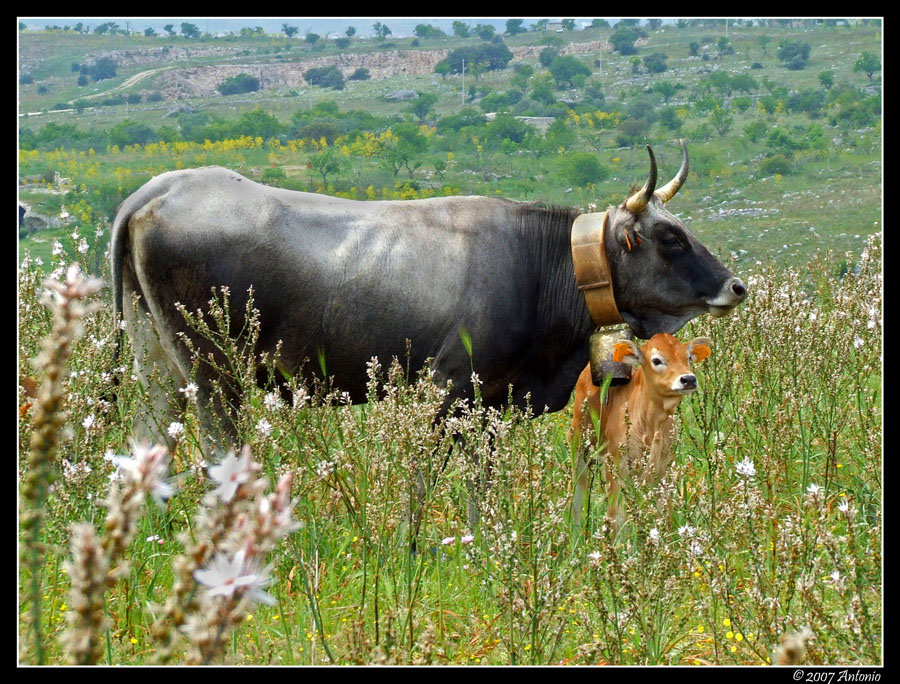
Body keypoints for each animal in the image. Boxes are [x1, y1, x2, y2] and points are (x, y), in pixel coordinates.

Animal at [109, 141, 746, 452]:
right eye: (669, 238)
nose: (735, 286)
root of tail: (158, 188)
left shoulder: (493, 402)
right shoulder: (448, 387)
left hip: (157, 366)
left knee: (146, 445)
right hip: (213, 374)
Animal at [568, 333, 713, 530]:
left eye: (688, 358)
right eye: (657, 360)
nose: (688, 379)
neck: (652, 426)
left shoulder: (664, 470)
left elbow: (664, 516)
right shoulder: (616, 467)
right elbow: (616, 517)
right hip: (578, 442)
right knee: (577, 494)